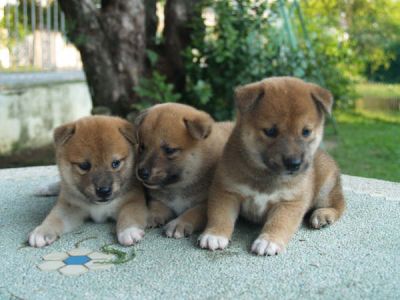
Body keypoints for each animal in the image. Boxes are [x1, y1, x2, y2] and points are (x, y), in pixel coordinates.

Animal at [28, 116, 147, 247]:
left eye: (115, 163)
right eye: (84, 166)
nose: (104, 191)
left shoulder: (133, 200)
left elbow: (128, 213)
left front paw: (129, 230)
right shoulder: (70, 206)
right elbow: (55, 217)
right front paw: (43, 231)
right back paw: (46, 188)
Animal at [135, 104, 233, 238]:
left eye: (169, 150)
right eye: (142, 147)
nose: (141, 173)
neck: (178, 187)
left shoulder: (206, 203)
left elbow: (193, 212)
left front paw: (179, 223)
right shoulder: (160, 200)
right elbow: (155, 206)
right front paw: (149, 215)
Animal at [198, 77, 346, 255]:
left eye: (306, 132)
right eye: (270, 131)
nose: (294, 164)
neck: (265, 175)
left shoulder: (290, 202)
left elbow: (279, 222)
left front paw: (269, 241)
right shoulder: (226, 191)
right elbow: (220, 215)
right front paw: (214, 235)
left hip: (325, 189)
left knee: (339, 204)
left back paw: (323, 214)